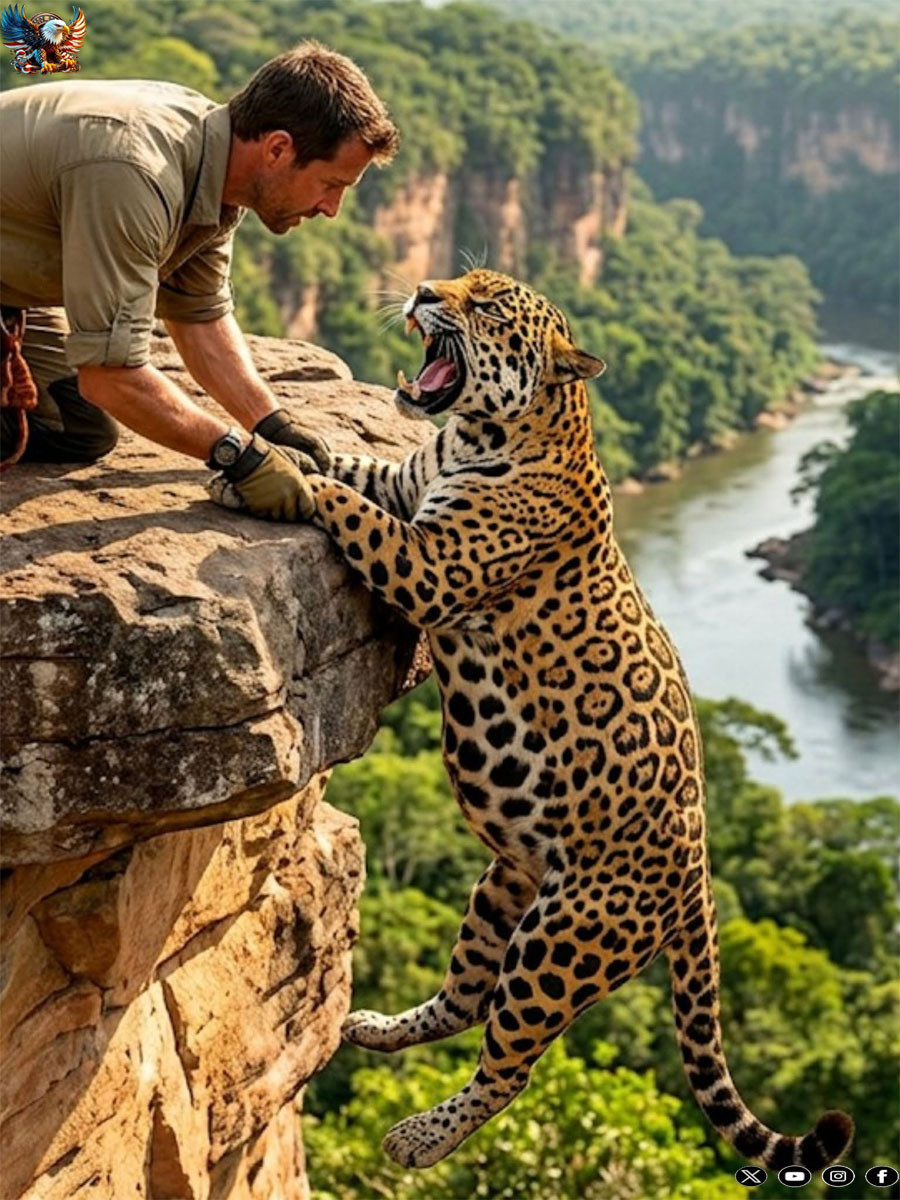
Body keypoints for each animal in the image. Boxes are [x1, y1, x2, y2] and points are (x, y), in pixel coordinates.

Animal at [249, 269, 855, 1170]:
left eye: (488, 305)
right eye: (459, 282)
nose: (424, 288)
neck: (477, 436)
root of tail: (699, 874)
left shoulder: (428, 562)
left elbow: (346, 507)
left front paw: (269, 474)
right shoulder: (404, 481)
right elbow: (348, 466)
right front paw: (282, 447)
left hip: (561, 944)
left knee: (511, 1064)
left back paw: (420, 1137)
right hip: (504, 888)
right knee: (465, 998)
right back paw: (377, 1028)